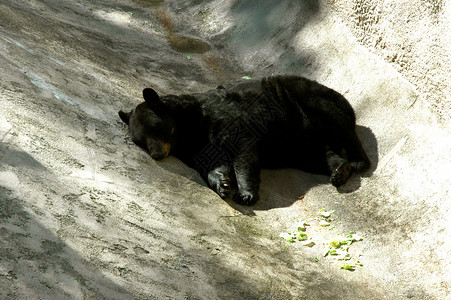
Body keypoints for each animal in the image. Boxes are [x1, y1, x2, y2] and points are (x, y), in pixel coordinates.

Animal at [119, 76, 370, 205]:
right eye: (141, 142)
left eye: (155, 130)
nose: (156, 154)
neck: (190, 129)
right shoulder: (197, 147)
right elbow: (212, 164)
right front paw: (223, 184)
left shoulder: (227, 119)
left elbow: (243, 153)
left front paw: (245, 193)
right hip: (299, 144)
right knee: (320, 155)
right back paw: (340, 170)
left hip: (312, 103)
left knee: (340, 124)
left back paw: (358, 161)